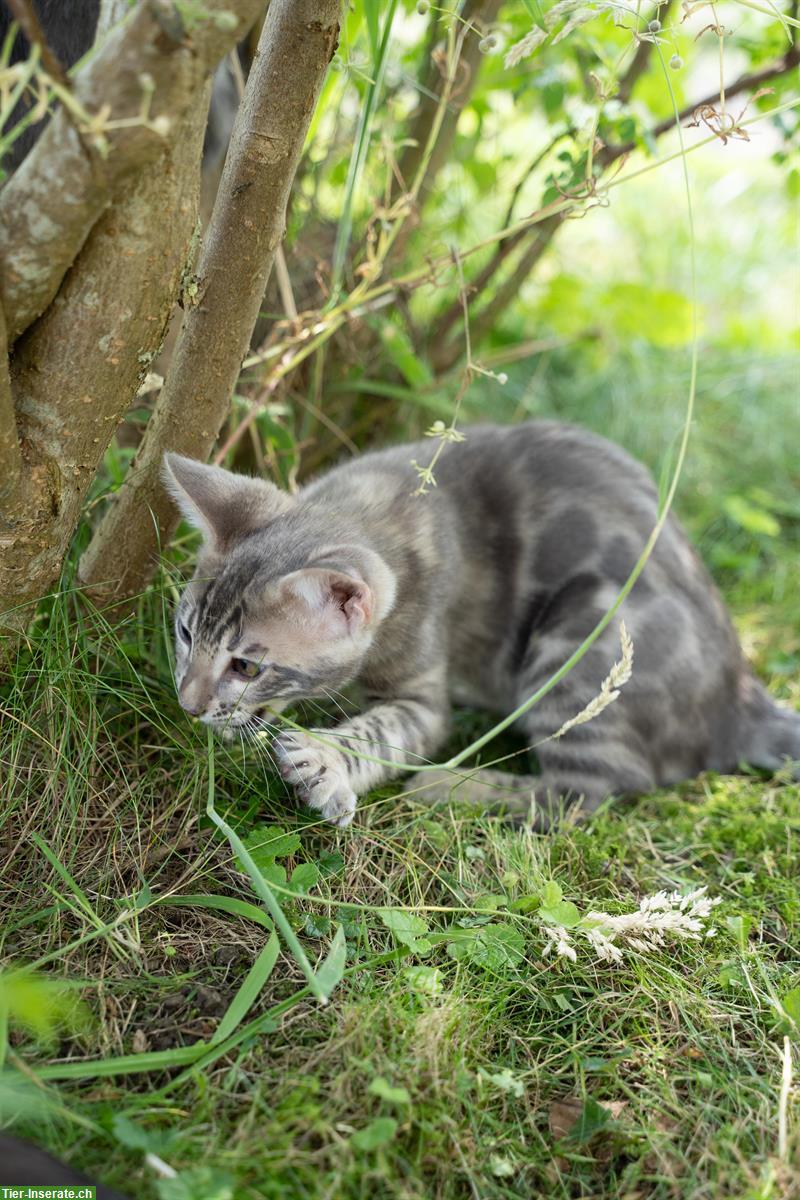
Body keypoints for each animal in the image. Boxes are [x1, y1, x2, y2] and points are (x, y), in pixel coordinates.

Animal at [164, 420, 800, 825]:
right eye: (186, 633)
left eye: (247, 666)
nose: (188, 706)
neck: (379, 508)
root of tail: (740, 698)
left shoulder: (425, 692)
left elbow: (386, 733)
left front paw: (326, 761)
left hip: (582, 634)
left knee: (589, 792)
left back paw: (452, 785)